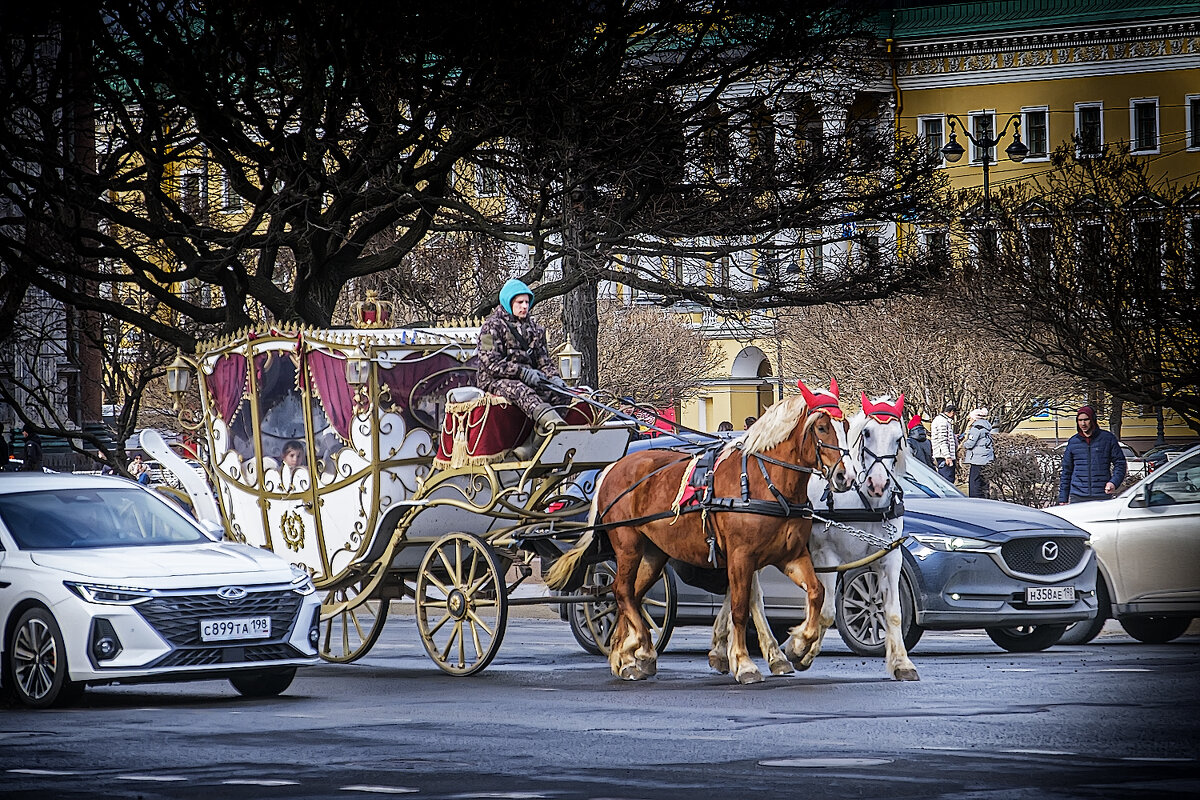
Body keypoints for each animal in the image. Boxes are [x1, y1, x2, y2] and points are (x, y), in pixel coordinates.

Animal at [549, 383, 859, 686]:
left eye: (845, 425)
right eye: (822, 427)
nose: (846, 476)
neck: (766, 482)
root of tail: (612, 468)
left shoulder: (789, 555)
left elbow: (816, 593)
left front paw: (798, 646)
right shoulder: (741, 557)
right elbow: (739, 608)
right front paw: (744, 663)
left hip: (653, 553)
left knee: (631, 595)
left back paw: (625, 656)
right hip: (628, 545)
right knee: (621, 591)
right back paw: (641, 648)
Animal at [705, 393, 912, 681]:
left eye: (898, 437)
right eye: (867, 433)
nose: (878, 483)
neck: (864, 504)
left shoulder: (890, 558)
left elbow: (893, 613)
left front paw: (902, 663)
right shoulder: (826, 555)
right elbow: (826, 611)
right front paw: (800, 648)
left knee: (738, 593)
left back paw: (723, 648)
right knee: (753, 597)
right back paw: (772, 654)